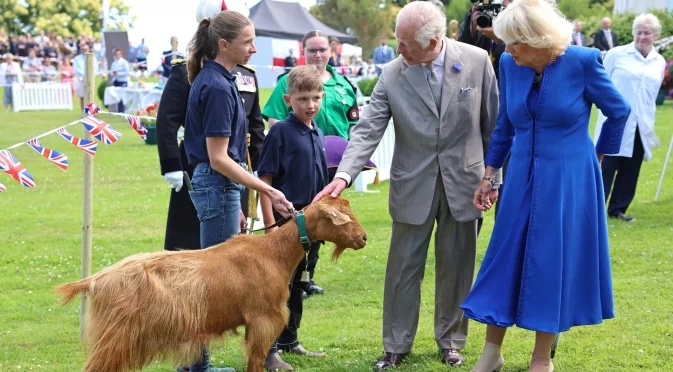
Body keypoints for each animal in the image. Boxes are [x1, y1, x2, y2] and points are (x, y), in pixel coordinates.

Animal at [55, 196, 368, 370]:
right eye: (343, 219)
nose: (363, 238)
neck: (272, 253)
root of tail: (95, 279)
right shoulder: (262, 321)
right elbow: (255, 363)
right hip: (116, 337)